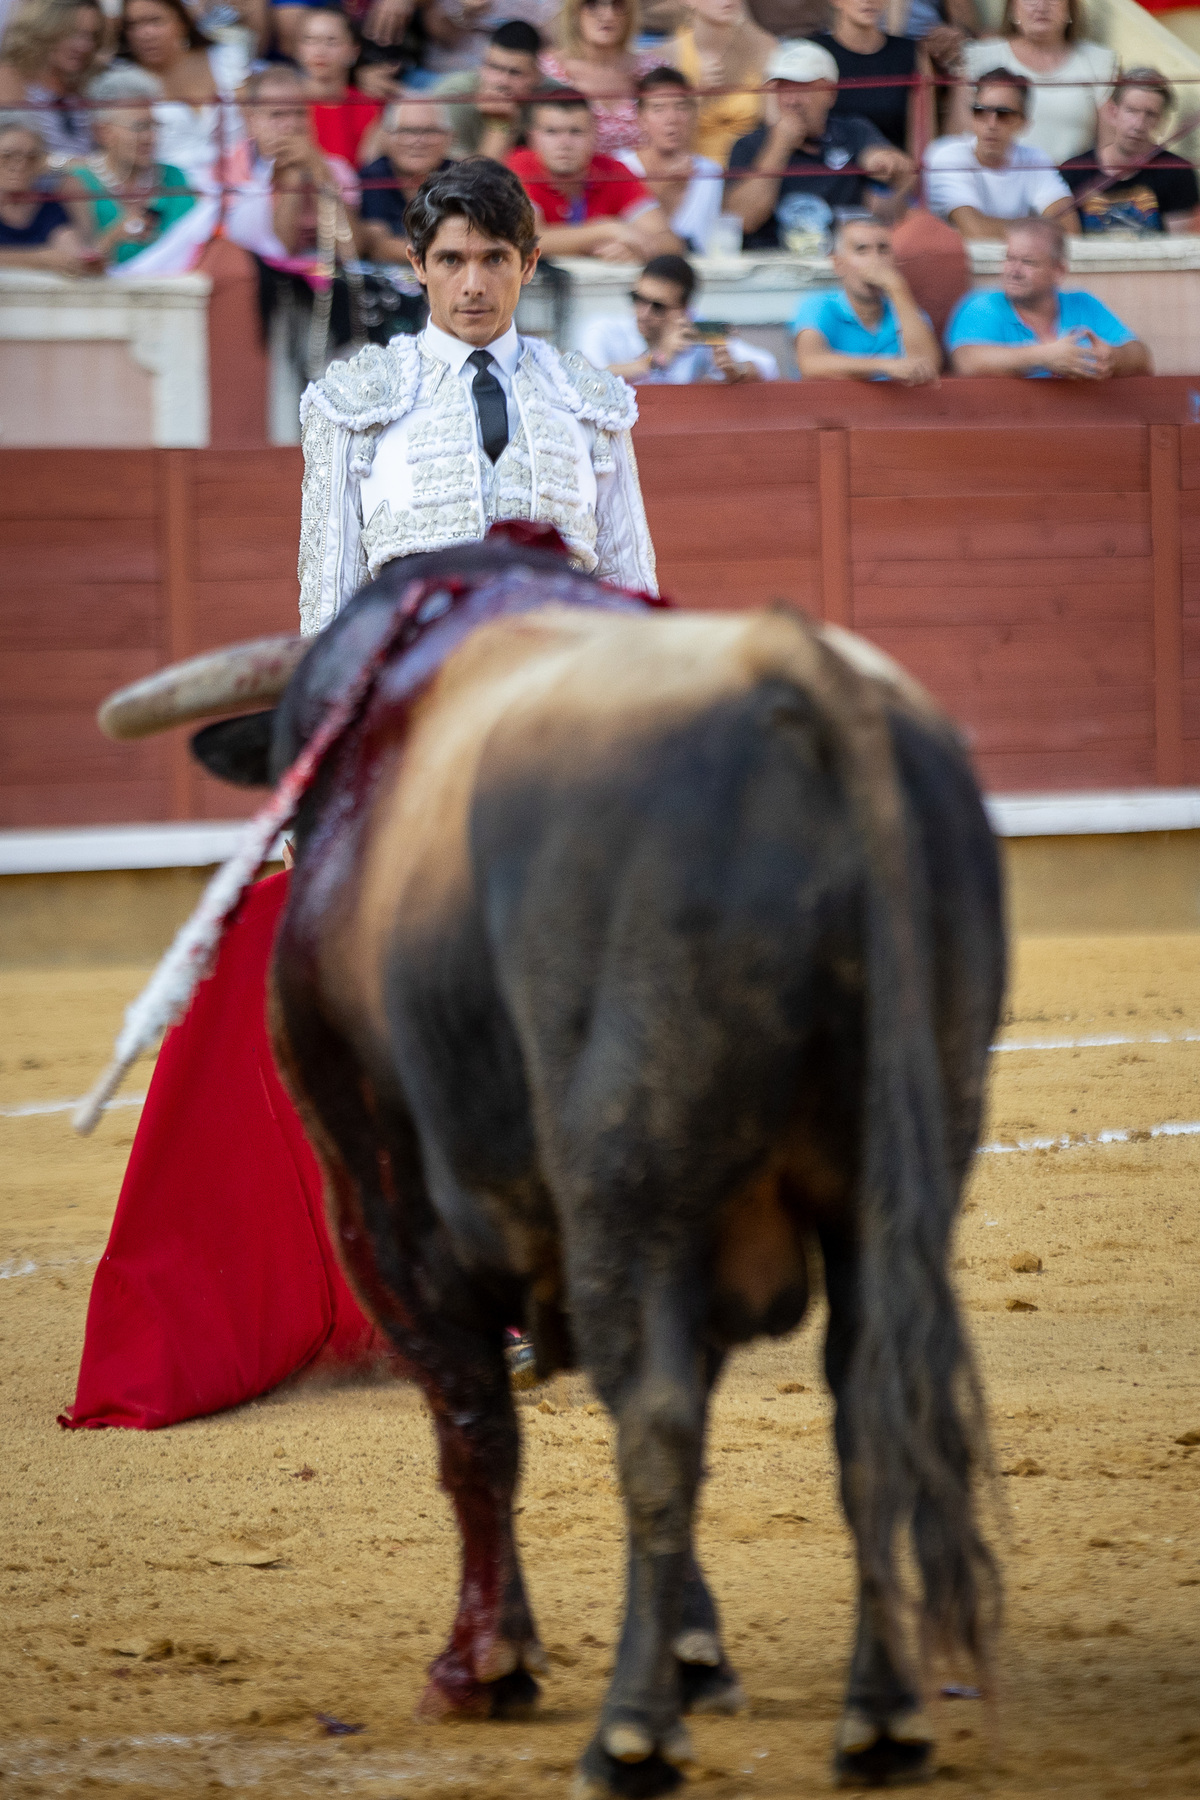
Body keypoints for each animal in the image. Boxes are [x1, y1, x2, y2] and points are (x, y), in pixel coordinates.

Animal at [105, 536, 1007, 1800]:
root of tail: (801, 681)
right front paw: (693, 1650)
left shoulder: (381, 1195)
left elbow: (473, 1421)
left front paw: (486, 1665)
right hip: (895, 1170)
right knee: (865, 1408)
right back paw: (880, 1718)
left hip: (627, 1173)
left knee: (656, 1419)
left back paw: (630, 1735)